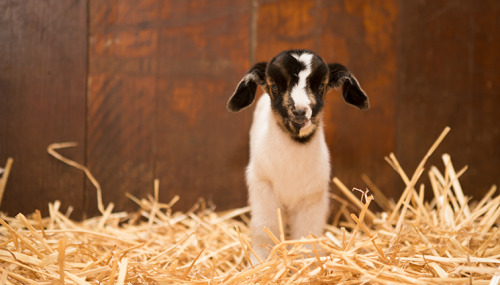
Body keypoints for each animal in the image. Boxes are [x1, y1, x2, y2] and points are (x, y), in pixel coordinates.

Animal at [227, 49, 368, 262]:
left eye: (321, 86)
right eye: (274, 86)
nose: (300, 111)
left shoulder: (313, 197)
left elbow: (307, 235)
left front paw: (307, 262)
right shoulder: (263, 187)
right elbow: (264, 228)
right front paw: (261, 261)